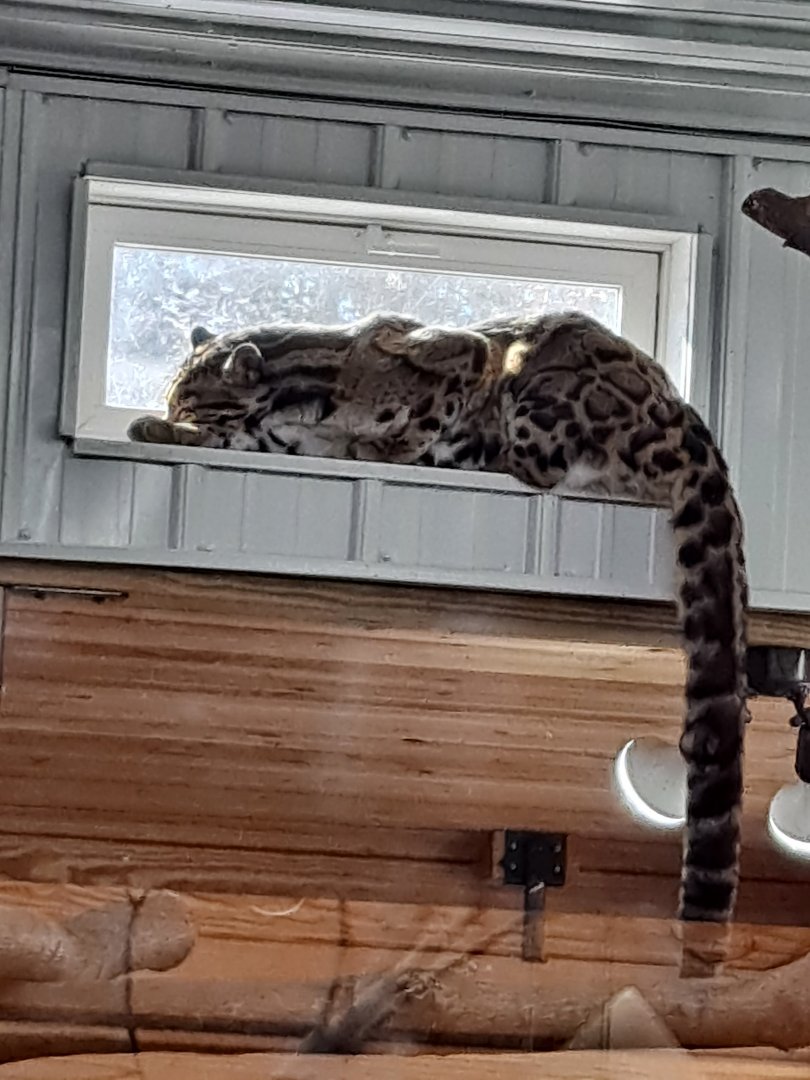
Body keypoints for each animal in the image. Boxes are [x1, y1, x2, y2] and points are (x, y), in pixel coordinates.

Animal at [129, 310, 749, 972]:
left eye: (188, 396)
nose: (166, 407)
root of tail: (686, 421)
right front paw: (159, 430)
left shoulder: (460, 355)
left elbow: (428, 408)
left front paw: (388, 444)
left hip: (543, 383)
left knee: (539, 467)